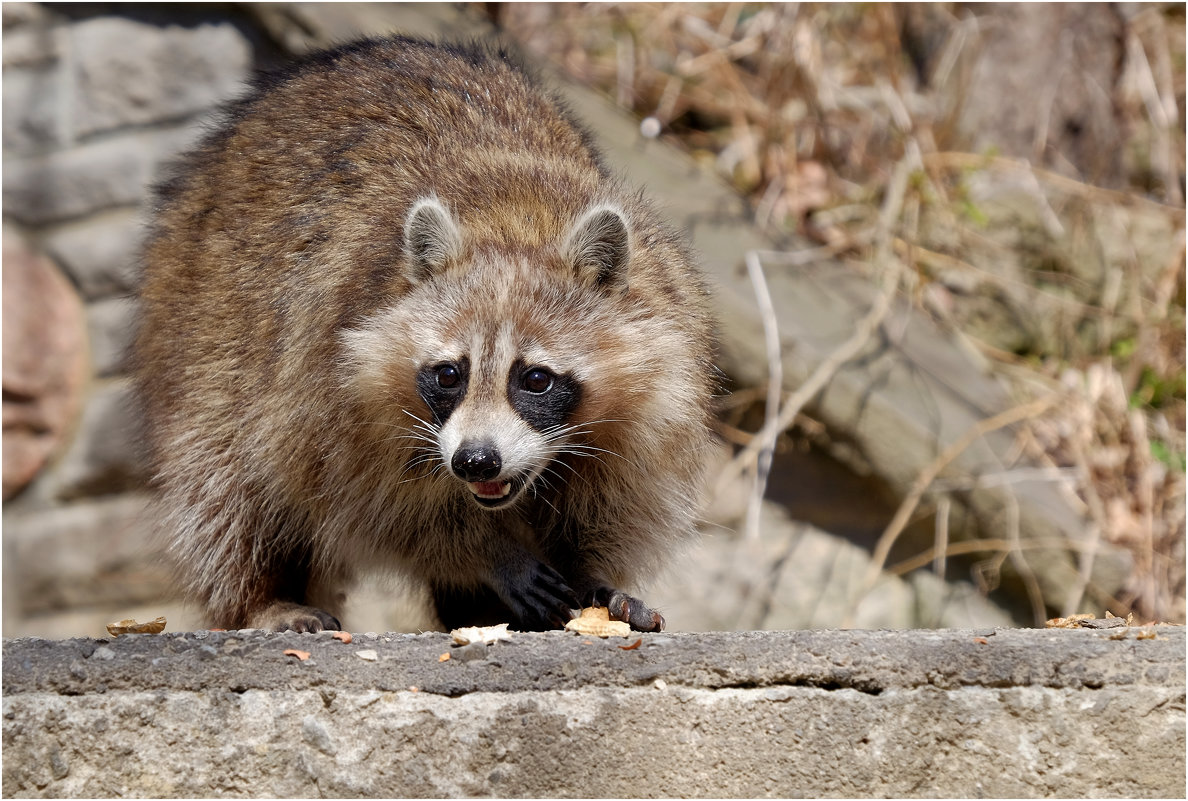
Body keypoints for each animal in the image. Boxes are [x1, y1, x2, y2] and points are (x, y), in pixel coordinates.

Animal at [136, 35, 717, 632]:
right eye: (448, 375)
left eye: (535, 379)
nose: (475, 461)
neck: (517, 221)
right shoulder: (328, 382)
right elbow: (377, 507)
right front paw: (487, 553)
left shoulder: (656, 387)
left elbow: (616, 504)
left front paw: (592, 576)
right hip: (203, 324)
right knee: (224, 482)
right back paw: (260, 596)